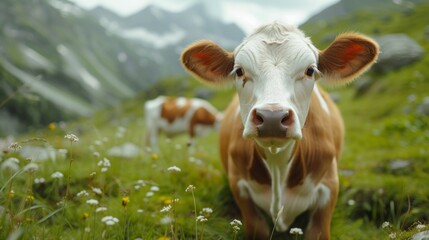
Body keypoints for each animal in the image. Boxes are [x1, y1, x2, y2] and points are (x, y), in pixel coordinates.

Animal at [181, 23, 378, 240]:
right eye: (239, 71)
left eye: (310, 70)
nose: (272, 117)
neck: (278, 166)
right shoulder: (238, 184)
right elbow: (257, 227)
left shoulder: (329, 186)